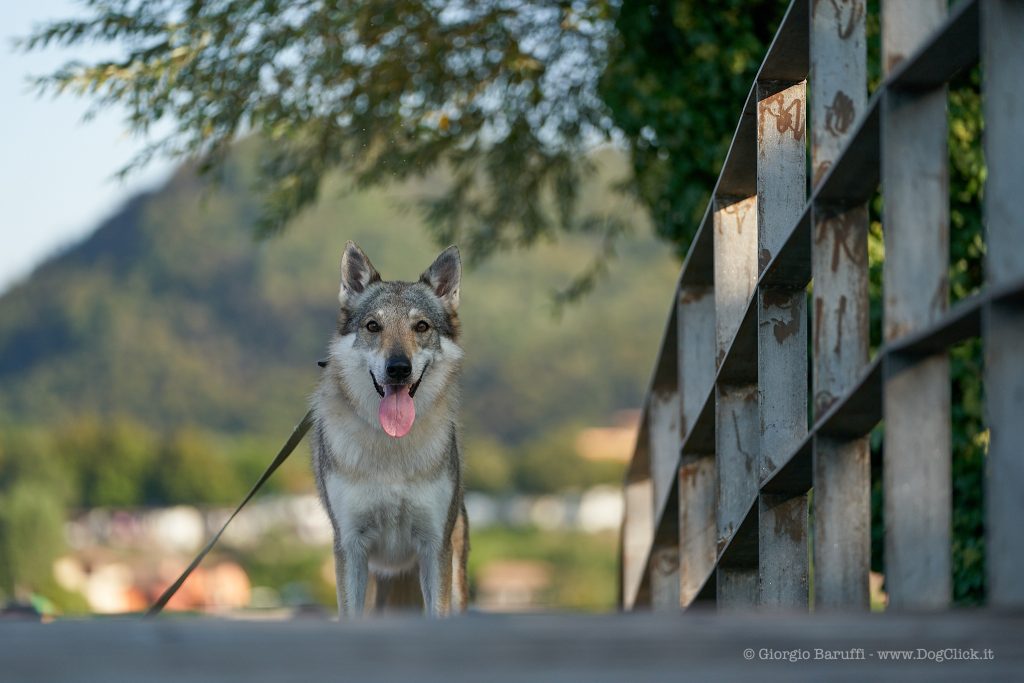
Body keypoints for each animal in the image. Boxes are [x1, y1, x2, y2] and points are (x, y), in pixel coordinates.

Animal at [309, 241, 468, 618]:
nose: (398, 368)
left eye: (421, 326)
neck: (391, 448)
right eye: (373, 326)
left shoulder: (435, 546)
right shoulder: (350, 548)